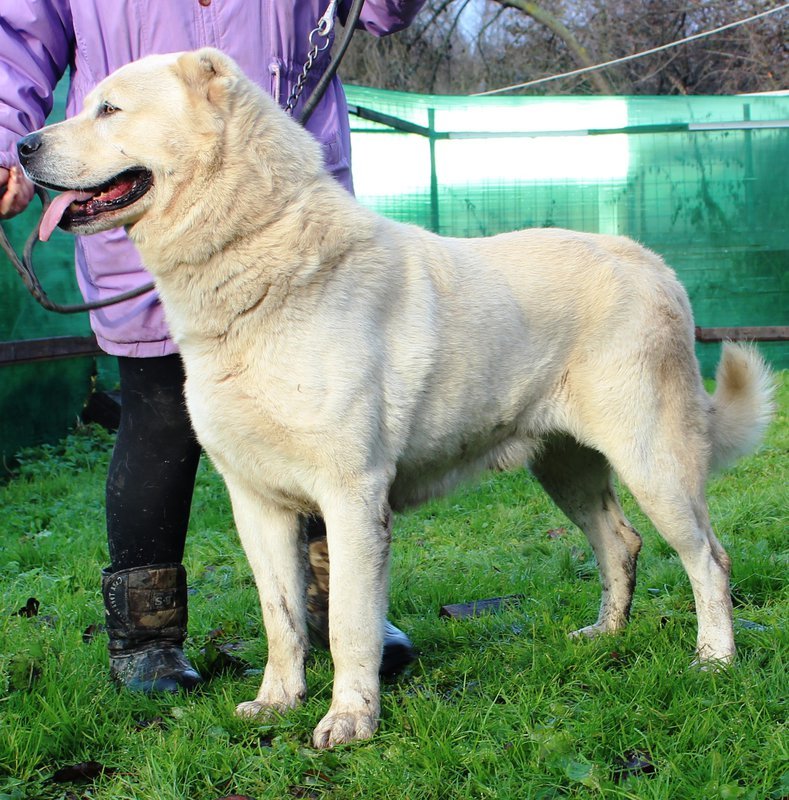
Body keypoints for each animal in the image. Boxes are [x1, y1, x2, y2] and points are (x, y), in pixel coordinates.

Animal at [16, 51, 768, 752]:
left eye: (109, 109)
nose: (22, 147)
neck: (262, 263)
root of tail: (648, 261)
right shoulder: (256, 503)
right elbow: (281, 618)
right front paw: (278, 703)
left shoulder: (351, 496)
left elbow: (349, 623)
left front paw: (350, 721)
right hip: (566, 467)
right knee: (621, 543)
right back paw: (605, 635)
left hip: (653, 463)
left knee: (709, 558)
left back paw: (714, 659)